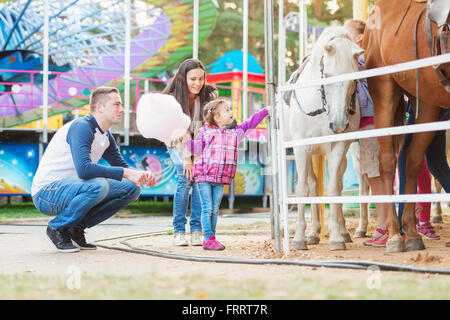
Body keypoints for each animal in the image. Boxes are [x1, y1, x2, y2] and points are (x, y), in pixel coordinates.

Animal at [284, 26, 362, 250]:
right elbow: (302, 188)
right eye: (327, 75)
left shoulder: (338, 147)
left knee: (330, 184)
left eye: (354, 79)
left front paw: (336, 237)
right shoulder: (301, 148)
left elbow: (334, 188)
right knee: (311, 186)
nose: (339, 124)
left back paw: (340, 232)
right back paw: (311, 233)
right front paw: (299, 238)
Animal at [364, 0, 448, 252]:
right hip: (384, 94)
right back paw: (393, 234)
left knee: (411, 162)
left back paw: (411, 233)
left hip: (427, 102)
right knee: (388, 163)